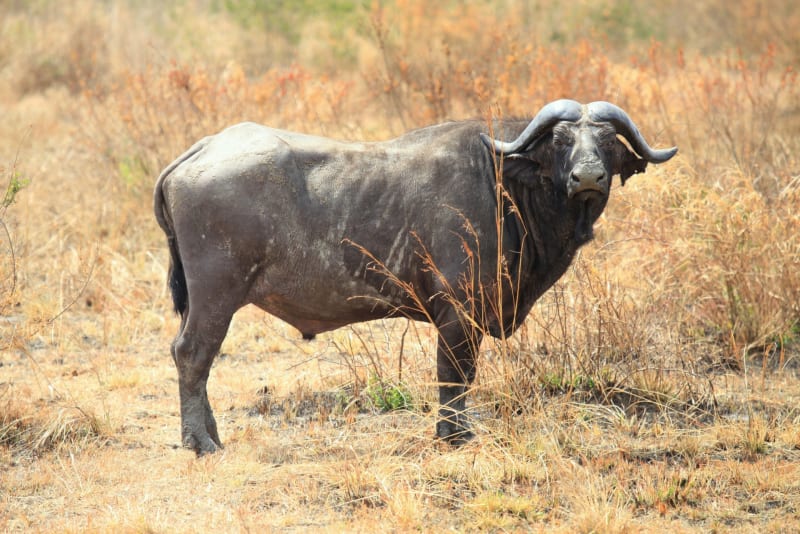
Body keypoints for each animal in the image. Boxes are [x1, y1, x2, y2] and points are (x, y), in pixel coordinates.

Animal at [154, 99, 677, 454]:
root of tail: (204, 148)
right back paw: (201, 442)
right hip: (216, 297)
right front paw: (453, 436)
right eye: (562, 141)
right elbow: (454, 376)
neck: (503, 182)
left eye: (606, 142)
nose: (588, 178)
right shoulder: (458, 314)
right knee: (192, 355)